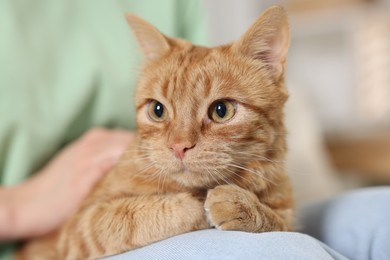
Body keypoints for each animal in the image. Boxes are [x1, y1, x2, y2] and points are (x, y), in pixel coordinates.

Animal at [16, 5, 294, 258]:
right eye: (157, 110)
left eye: (221, 110)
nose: (179, 146)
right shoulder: (82, 225)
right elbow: (139, 213)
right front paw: (197, 204)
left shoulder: (287, 214)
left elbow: (279, 222)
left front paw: (246, 206)